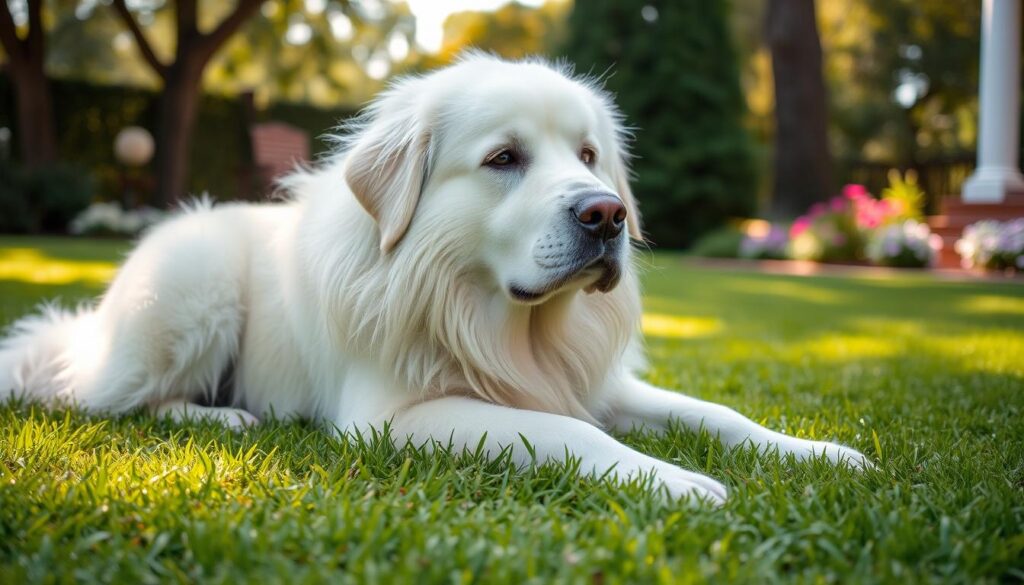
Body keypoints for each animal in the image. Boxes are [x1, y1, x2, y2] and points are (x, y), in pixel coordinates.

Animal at [0, 53, 868, 504]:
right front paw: (678, 482)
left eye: (588, 155)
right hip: (193, 280)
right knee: (99, 398)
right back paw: (223, 416)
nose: (607, 213)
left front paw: (819, 451)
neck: (489, 316)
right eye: (504, 158)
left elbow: (716, 412)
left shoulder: (594, 382)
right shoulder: (393, 417)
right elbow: (571, 432)